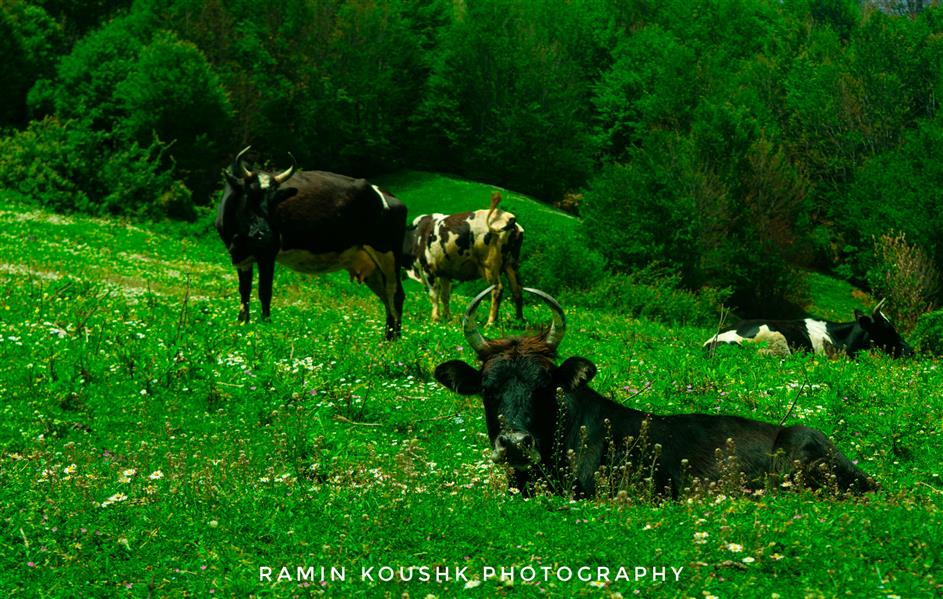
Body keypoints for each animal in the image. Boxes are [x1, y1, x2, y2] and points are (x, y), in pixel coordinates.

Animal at [216, 148, 408, 340]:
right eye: (250, 196)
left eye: (276, 202)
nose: (266, 235)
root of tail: (389, 196)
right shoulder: (241, 256)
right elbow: (244, 291)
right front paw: (242, 324)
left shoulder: (268, 253)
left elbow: (264, 291)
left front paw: (266, 326)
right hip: (371, 265)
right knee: (386, 296)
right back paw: (386, 339)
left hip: (388, 253)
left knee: (396, 294)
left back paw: (395, 340)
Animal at [404, 191, 528, 324]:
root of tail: (509, 218)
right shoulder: (444, 273)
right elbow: (445, 296)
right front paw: (447, 318)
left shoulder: (427, 269)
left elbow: (434, 294)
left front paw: (435, 319)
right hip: (511, 264)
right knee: (517, 289)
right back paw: (519, 320)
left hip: (490, 265)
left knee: (497, 289)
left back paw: (490, 323)